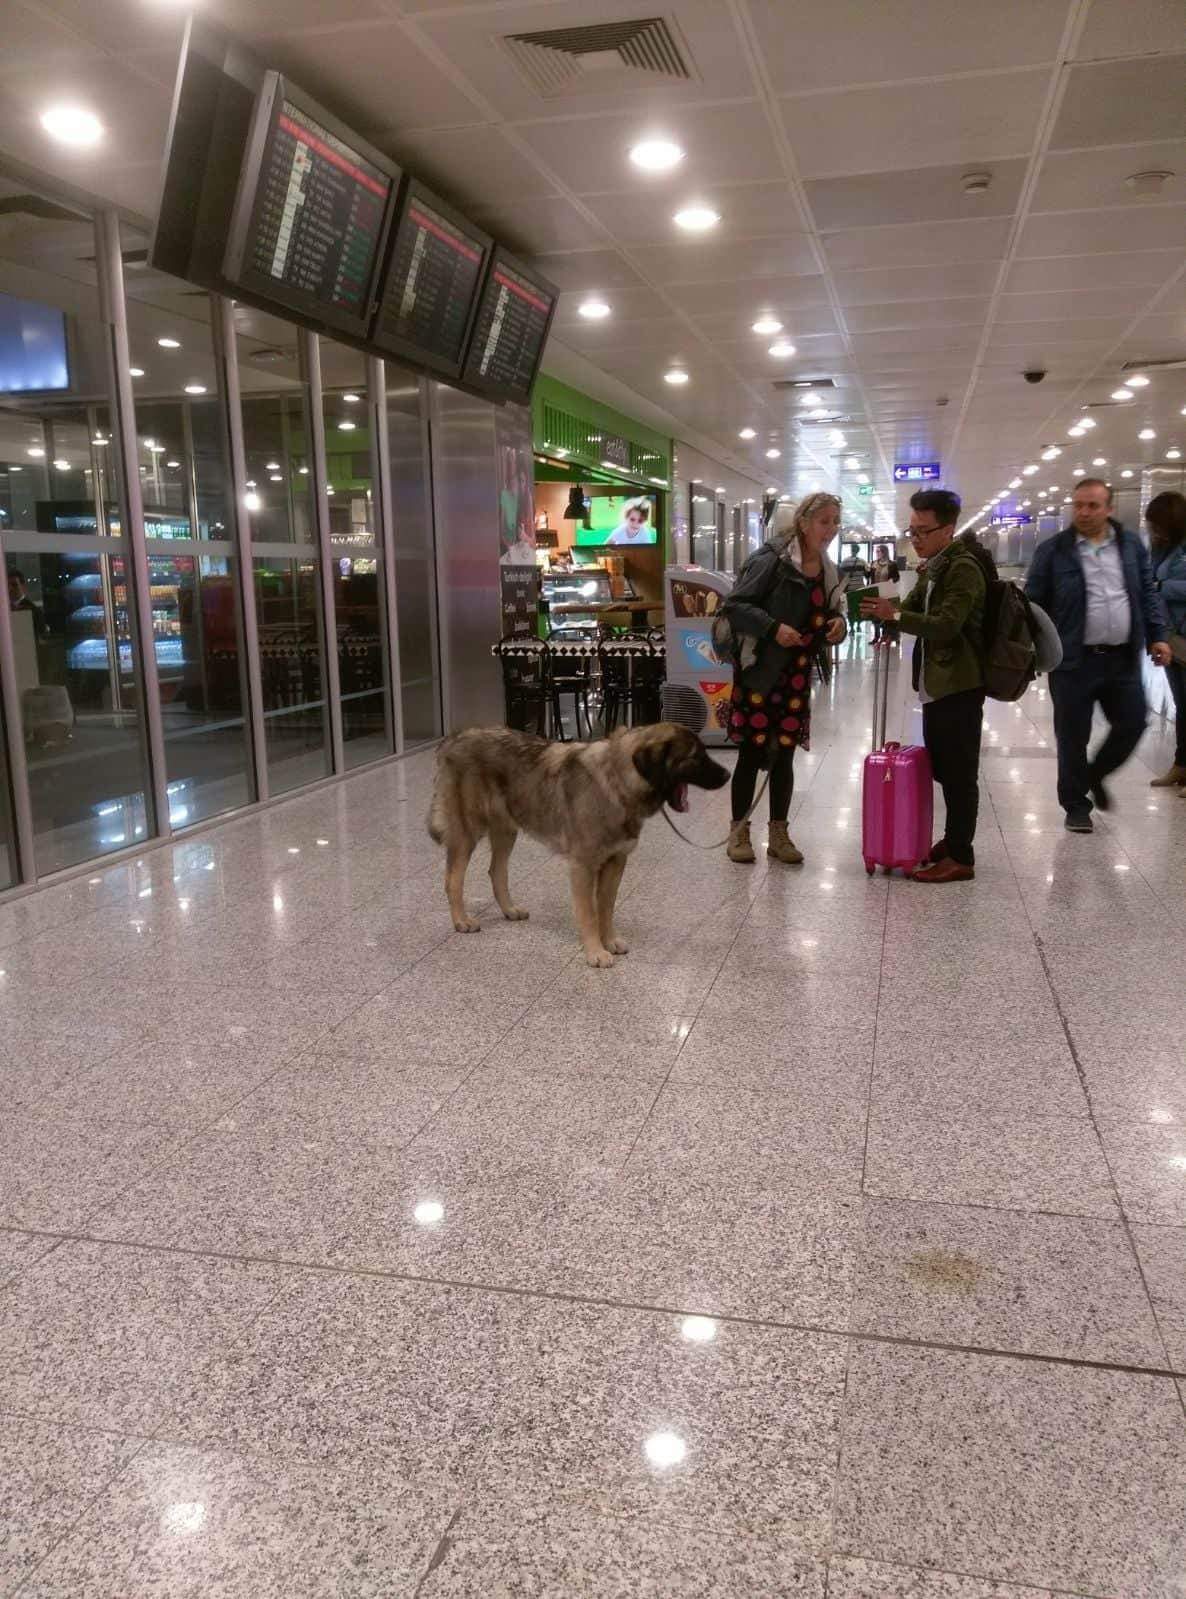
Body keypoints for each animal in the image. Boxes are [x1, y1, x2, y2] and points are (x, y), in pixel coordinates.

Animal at [428, 722, 728, 959]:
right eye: (696, 757)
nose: (727, 775)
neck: (617, 782)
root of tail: (454, 738)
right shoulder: (583, 866)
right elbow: (589, 913)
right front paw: (595, 952)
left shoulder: (615, 862)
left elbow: (605, 908)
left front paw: (609, 941)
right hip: (467, 832)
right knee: (453, 879)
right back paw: (461, 920)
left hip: (505, 831)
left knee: (496, 871)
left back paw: (509, 910)